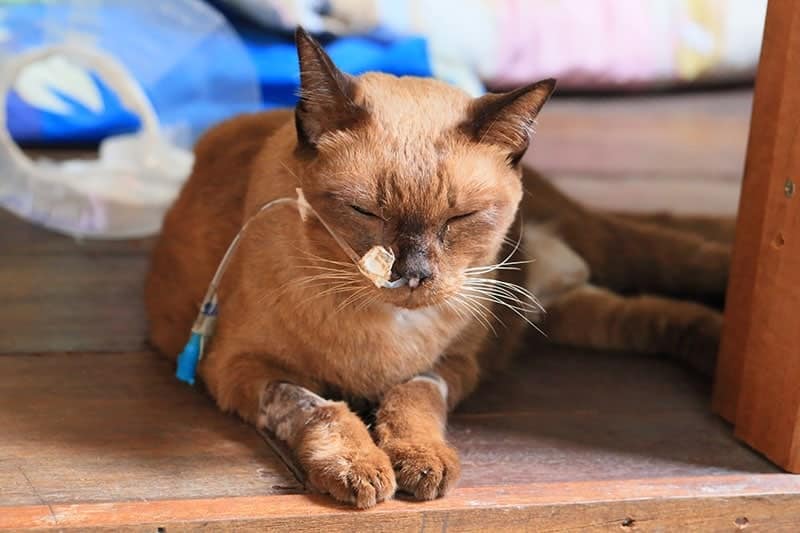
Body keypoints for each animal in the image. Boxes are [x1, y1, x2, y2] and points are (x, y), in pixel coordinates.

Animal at [144, 28, 732, 508]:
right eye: (366, 213)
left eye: (459, 218)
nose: (412, 274)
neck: (385, 330)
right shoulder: (241, 369)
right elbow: (320, 408)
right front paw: (360, 470)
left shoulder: (453, 364)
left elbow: (413, 399)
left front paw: (421, 465)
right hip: (572, 315)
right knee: (658, 315)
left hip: (602, 253)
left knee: (683, 256)